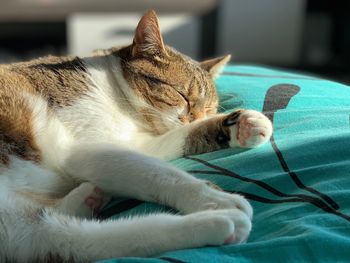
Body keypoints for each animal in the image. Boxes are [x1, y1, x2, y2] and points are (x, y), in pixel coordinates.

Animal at [0, 9, 274, 262]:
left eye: (208, 109)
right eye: (181, 95)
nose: (196, 116)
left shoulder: (136, 143)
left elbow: (179, 139)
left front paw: (242, 125)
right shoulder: (90, 149)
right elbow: (161, 174)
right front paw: (216, 197)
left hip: (23, 227)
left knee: (78, 239)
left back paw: (87, 198)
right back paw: (224, 219)